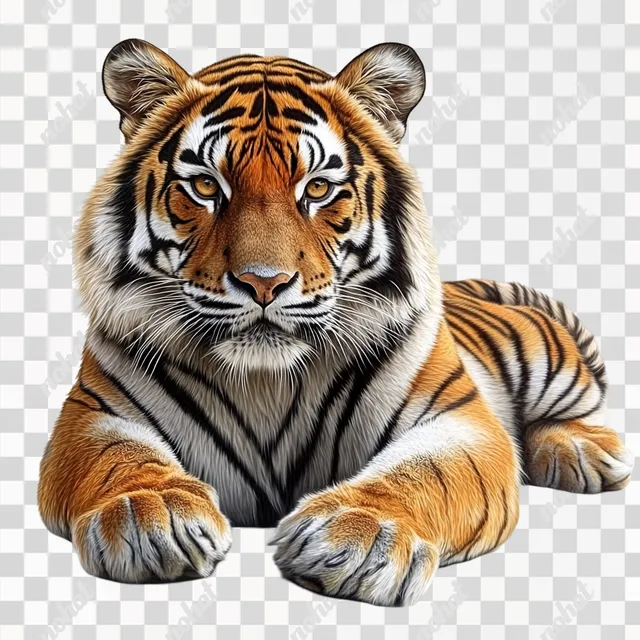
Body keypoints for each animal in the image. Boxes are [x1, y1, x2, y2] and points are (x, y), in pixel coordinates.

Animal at [38, 39, 633, 606]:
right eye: (206, 187)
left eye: (318, 189)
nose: (263, 283)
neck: (266, 382)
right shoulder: (93, 415)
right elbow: (119, 459)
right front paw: (150, 514)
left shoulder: (458, 420)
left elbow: (423, 475)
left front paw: (361, 535)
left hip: (545, 358)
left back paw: (584, 452)